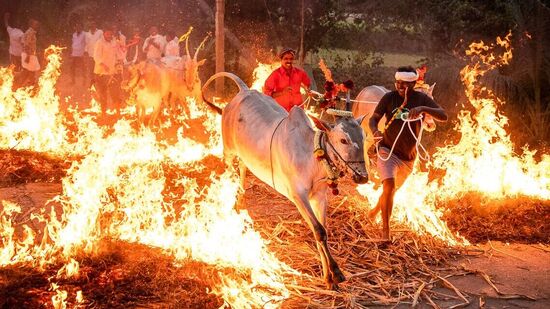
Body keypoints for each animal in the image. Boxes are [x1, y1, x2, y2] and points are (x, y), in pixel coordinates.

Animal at [203, 72, 370, 288]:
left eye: (363, 137)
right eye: (343, 140)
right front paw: (336, 272)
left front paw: (328, 277)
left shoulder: (319, 197)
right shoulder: (298, 195)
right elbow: (319, 231)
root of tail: (243, 91)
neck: (311, 156)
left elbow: (322, 230)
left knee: (242, 169)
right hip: (228, 151)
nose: (363, 176)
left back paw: (240, 200)